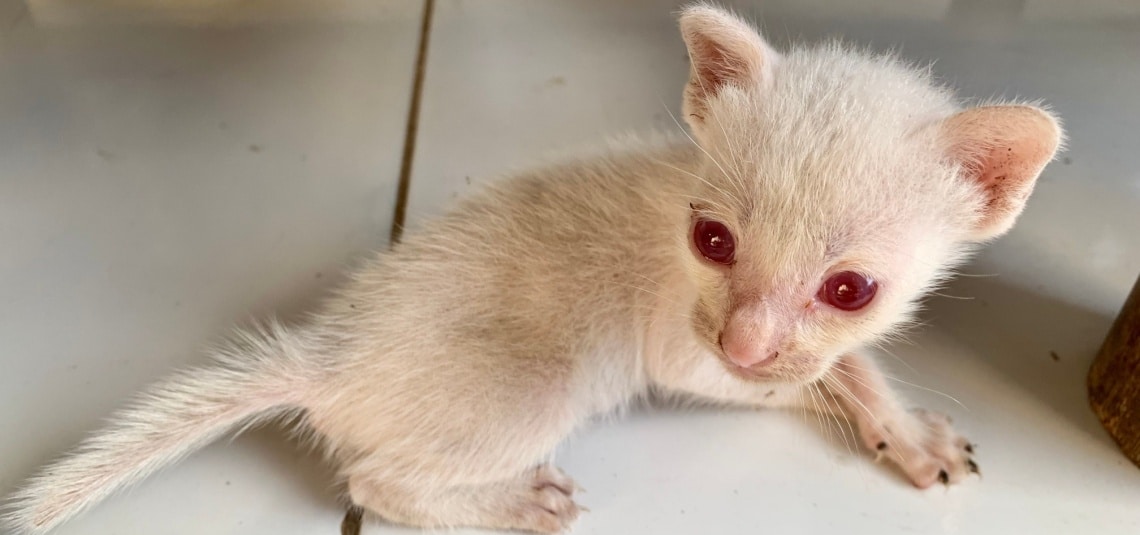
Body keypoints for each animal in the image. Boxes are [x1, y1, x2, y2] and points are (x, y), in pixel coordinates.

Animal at [4, 4, 1062, 533]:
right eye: (713, 241)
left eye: (850, 287)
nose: (742, 342)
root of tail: (326, 361)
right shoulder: (680, 352)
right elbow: (811, 377)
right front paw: (876, 414)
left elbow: (842, 362)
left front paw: (902, 426)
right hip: (546, 383)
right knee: (371, 481)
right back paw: (511, 502)